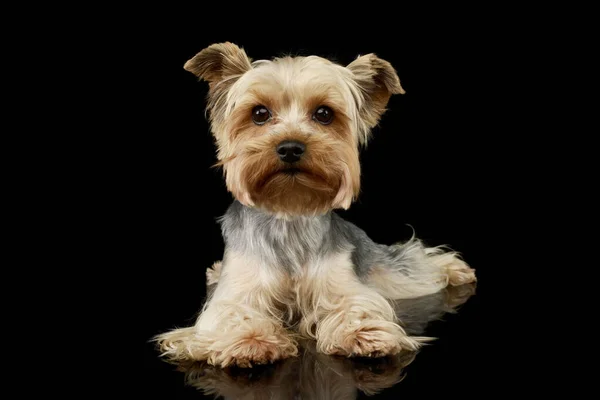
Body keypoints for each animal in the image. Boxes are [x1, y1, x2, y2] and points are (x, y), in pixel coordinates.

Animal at [157, 42, 476, 368]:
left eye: (324, 114)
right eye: (259, 113)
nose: (290, 147)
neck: (290, 211)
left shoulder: (341, 283)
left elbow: (355, 304)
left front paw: (365, 333)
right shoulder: (237, 291)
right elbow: (232, 313)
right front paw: (251, 340)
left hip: (389, 267)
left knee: (413, 260)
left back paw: (455, 269)